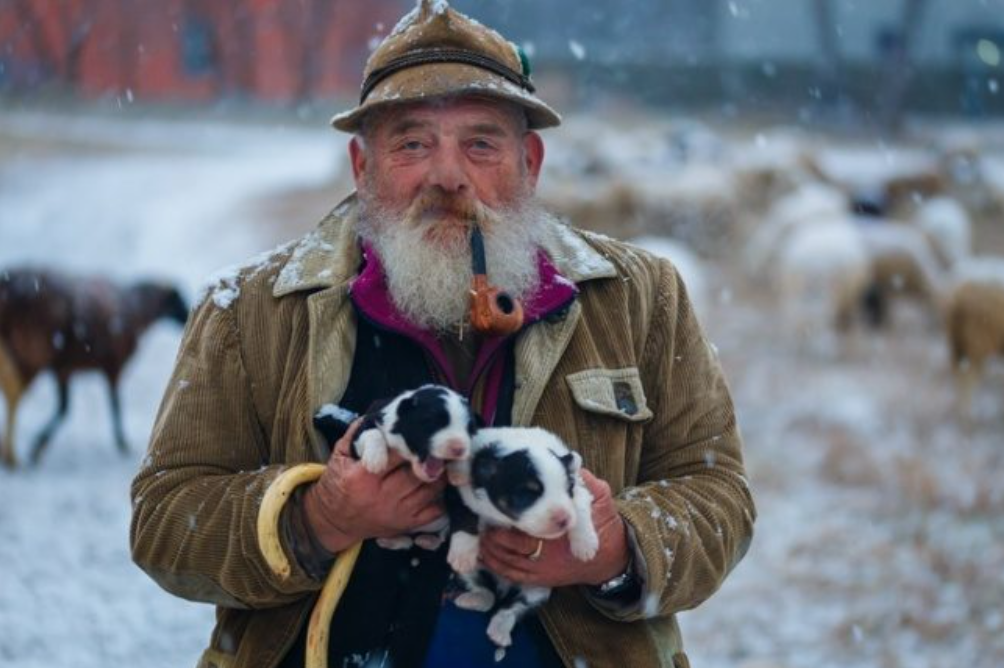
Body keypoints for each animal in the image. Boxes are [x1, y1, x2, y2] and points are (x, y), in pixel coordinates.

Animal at [0, 267, 187, 468]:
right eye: (180, 300)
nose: (187, 318)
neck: (135, 309)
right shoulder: (112, 369)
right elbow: (114, 405)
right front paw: (122, 443)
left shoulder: (64, 370)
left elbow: (64, 408)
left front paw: (38, 445)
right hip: (32, 354)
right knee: (14, 394)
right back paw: (11, 457)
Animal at [313, 383, 477, 550]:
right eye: (431, 422)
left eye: (469, 429)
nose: (459, 448)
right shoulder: (364, 427)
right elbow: (372, 432)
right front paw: (375, 459)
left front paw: (461, 471)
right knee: (403, 539)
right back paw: (391, 540)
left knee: (438, 536)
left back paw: (427, 540)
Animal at [445, 427, 594, 654]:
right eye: (528, 493)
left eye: (567, 488)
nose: (563, 520)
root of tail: (503, 586)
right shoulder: (460, 491)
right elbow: (465, 516)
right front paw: (462, 553)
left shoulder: (579, 488)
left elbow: (580, 508)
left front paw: (585, 545)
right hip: (470, 574)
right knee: (485, 593)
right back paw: (473, 599)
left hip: (538, 590)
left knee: (514, 607)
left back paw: (499, 630)